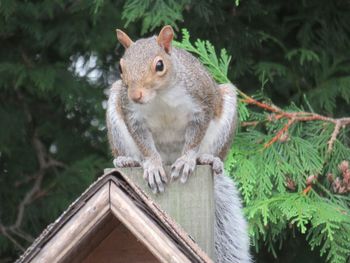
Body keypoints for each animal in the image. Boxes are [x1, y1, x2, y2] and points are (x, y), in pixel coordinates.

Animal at [105, 25, 250, 263]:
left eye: (159, 65)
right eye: (120, 67)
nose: (135, 95)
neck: (160, 96)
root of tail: (169, 159)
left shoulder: (202, 102)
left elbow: (194, 137)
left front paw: (187, 160)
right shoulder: (133, 116)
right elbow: (144, 144)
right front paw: (153, 166)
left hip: (226, 106)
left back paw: (208, 159)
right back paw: (128, 161)